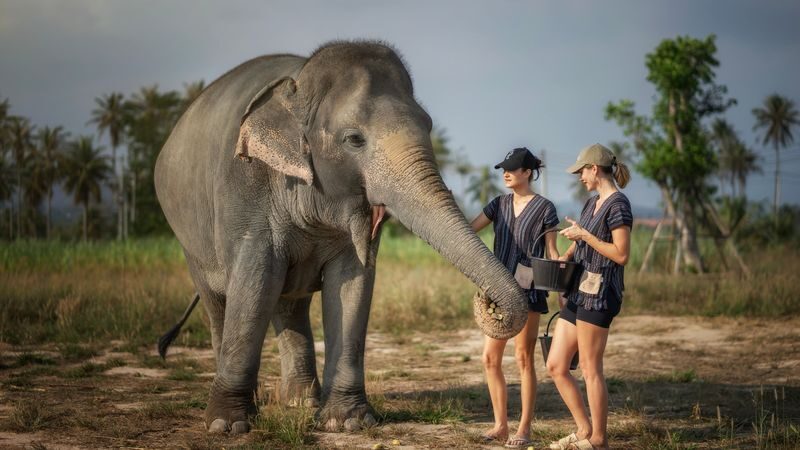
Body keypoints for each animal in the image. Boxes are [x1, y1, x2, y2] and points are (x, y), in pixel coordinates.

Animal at [154, 41, 529, 434]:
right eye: (354, 140)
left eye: (428, 125)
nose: (490, 301)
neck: (299, 84)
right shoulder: (244, 187)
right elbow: (254, 282)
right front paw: (228, 426)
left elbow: (352, 283)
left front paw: (348, 423)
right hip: (189, 239)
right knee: (221, 303)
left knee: (288, 302)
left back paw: (301, 402)